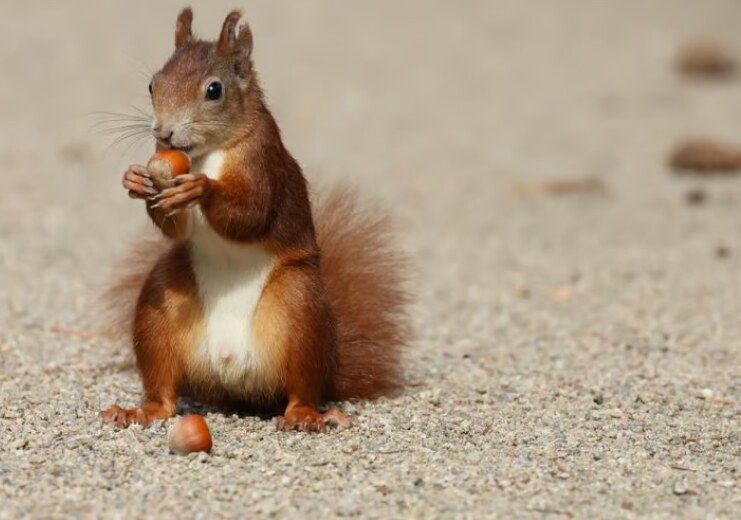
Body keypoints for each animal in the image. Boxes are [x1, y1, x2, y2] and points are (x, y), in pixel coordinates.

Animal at [102, 8, 409, 432]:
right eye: (152, 84)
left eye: (214, 90)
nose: (163, 133)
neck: (207, 153)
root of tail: (232, 374)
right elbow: (176, 228)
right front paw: (138, 180)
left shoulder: (263, 162)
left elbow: (252, 215)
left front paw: (201, 189)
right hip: (159, 307)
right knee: (163, 386)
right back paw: (142, 411)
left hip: (299, 309)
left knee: (302, 385)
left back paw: (304, 415)